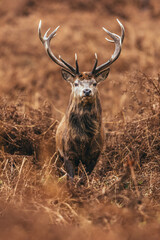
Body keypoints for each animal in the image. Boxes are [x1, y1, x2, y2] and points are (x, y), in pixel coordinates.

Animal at [38, 19, 124, 180]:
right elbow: (71, 179)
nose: (87, 91)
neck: (83, 141)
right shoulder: (68, 154)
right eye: (76, 83)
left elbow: (85, 179)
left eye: (94, 83)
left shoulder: (95, 155)